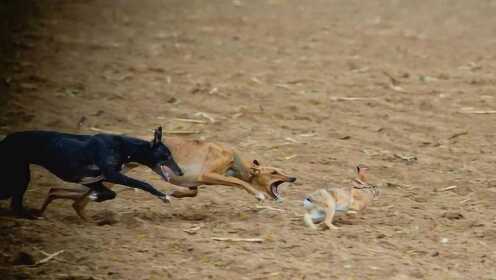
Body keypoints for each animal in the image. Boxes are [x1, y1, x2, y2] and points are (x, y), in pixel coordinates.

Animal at [0, 127, 182, 219]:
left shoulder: (93, 179)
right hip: (20, 177)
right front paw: (163, 196)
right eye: (167, 156)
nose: (180, 172)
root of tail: (5, 140)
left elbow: (110, 193)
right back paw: (30, 215)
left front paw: (95, 197)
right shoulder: (110, 175)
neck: (123, 147)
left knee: (15, 204)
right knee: (15, 205)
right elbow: (144, 183)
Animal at [39, 137, 294, 220]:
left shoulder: (196, 181)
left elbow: (192, 191)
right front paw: (258, 195)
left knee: (64, 195)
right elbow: (240, 183)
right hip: (114, 176)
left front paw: (174, 194)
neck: (236, 161)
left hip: (107, 179)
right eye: (274, 172)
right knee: (76, 200)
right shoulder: (208, 174)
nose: (293, 178)